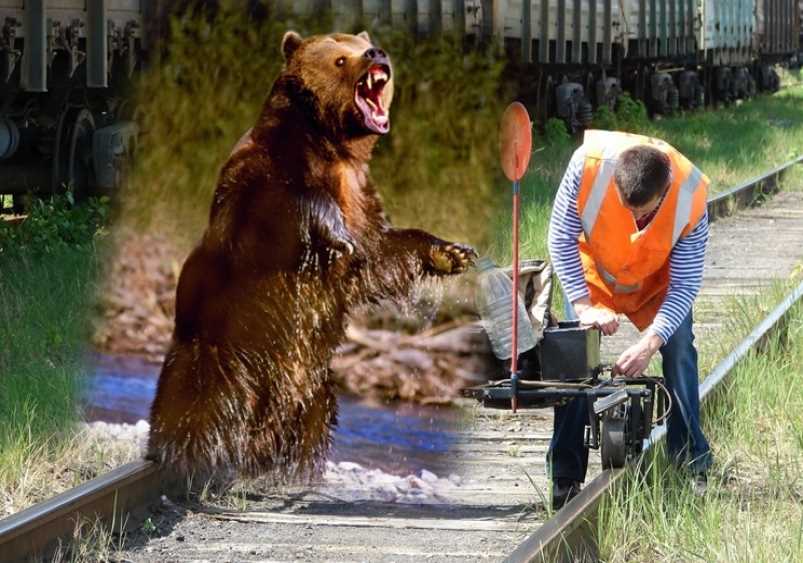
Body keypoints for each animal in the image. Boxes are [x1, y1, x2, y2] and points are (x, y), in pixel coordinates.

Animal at [146, 30, 478, 480]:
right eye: (340, 58)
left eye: (363, 45)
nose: (376, 53)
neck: (333, 148)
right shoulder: (260, 184)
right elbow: (286, 205)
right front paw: (334, 231)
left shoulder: (361, 198)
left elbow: (378, 254)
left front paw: (452, 253)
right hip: (215, 360)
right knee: (200, 416)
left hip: (313, 389)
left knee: (313, 427)